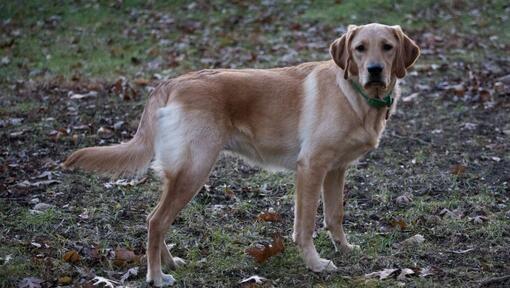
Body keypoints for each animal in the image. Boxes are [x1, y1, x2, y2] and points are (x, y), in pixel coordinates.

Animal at [64, 23, 418, 286]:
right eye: (360, 48)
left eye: (387, 47)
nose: (375, 70)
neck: (356, 96)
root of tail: (171, 82)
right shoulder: (311, 167)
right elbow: (305, 226)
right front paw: (315, 264)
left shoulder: (336, 169)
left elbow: (335, 216)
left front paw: (344, 249)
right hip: (195, 169)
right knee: (156, 220)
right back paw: (156, 275)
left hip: (181, 172)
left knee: (156, 219)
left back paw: (168, 261)